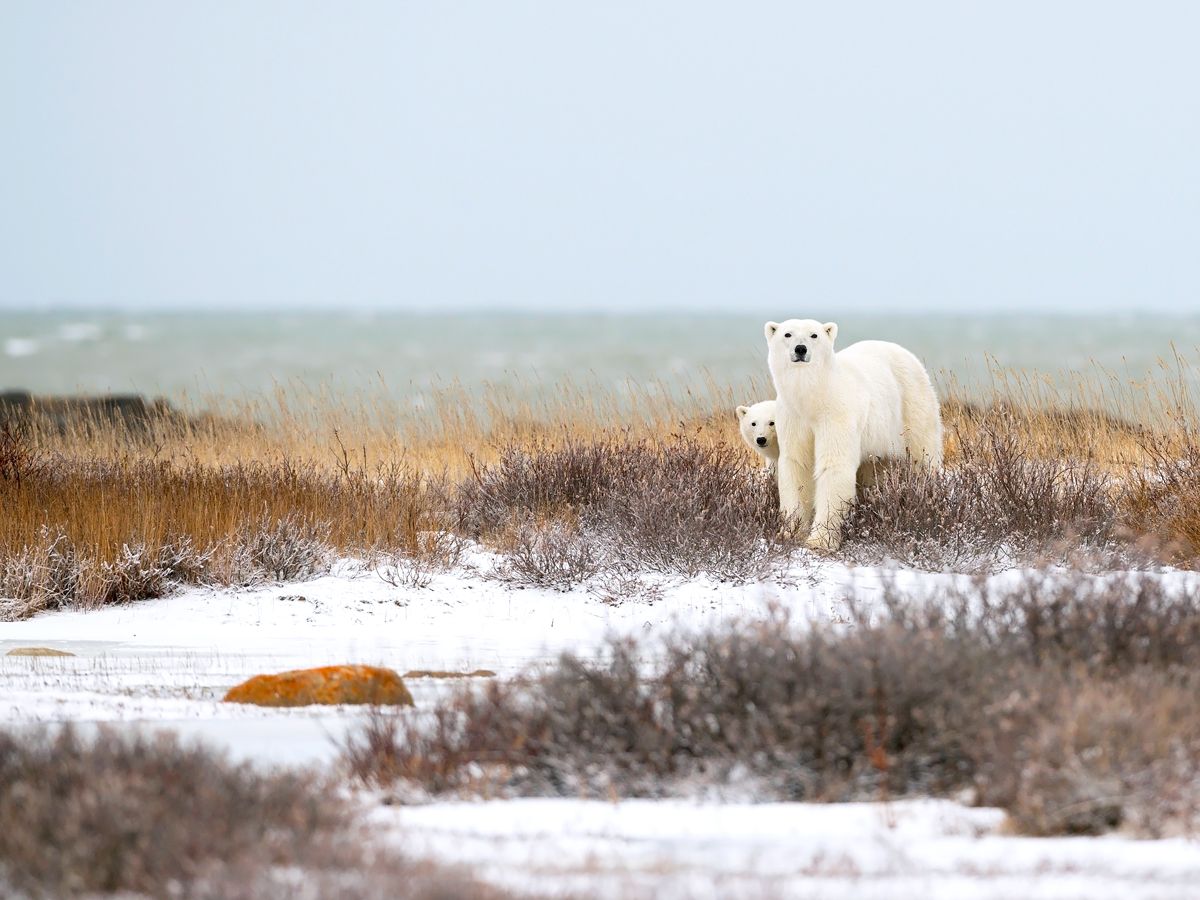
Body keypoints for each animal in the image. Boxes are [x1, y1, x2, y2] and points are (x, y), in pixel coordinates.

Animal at [765, 318, 943, 553]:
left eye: (814, 335)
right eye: (787, 334)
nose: (800, 349)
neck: (813, 398)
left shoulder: (836, 412)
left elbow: (834, 465)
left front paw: (819, 540)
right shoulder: (792, 416)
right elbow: (796, 465)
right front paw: (789, 533)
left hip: (912, 405)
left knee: (924, 455)